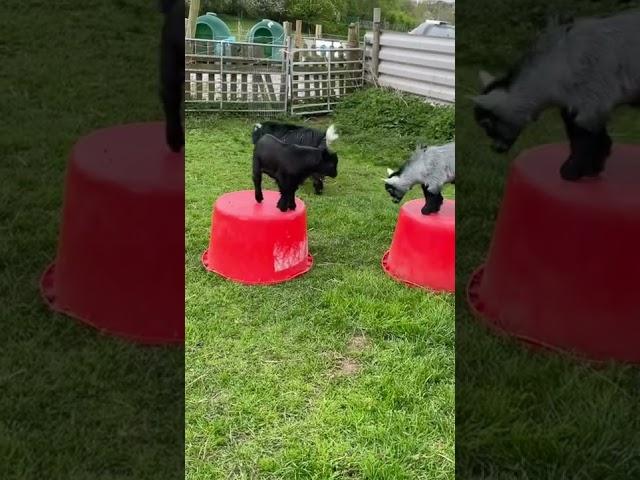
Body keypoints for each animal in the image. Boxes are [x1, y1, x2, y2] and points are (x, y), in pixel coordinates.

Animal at [470, 9, 640, 182]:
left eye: (486, 124)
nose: (494, 148)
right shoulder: (575, 105)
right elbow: (593, 137)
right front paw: (592, 169)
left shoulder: (591, 101)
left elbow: (585, 139)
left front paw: (571, 172)